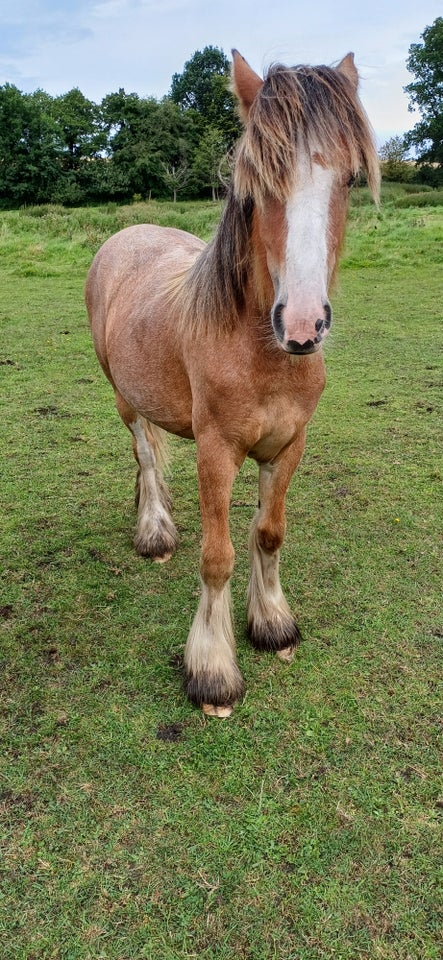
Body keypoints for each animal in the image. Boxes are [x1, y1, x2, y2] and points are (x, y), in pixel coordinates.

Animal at [86, 50, 382, 712]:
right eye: (256, 180)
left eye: (350, 179)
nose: (302, 324)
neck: (263, 354)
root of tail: (130, 231)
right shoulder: (217, 451)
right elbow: (216, 557)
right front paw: (212, 669)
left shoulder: (289, 445)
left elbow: (268, 533)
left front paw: (272, 623)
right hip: (123, 398)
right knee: (145, 453)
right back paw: (155, 531)